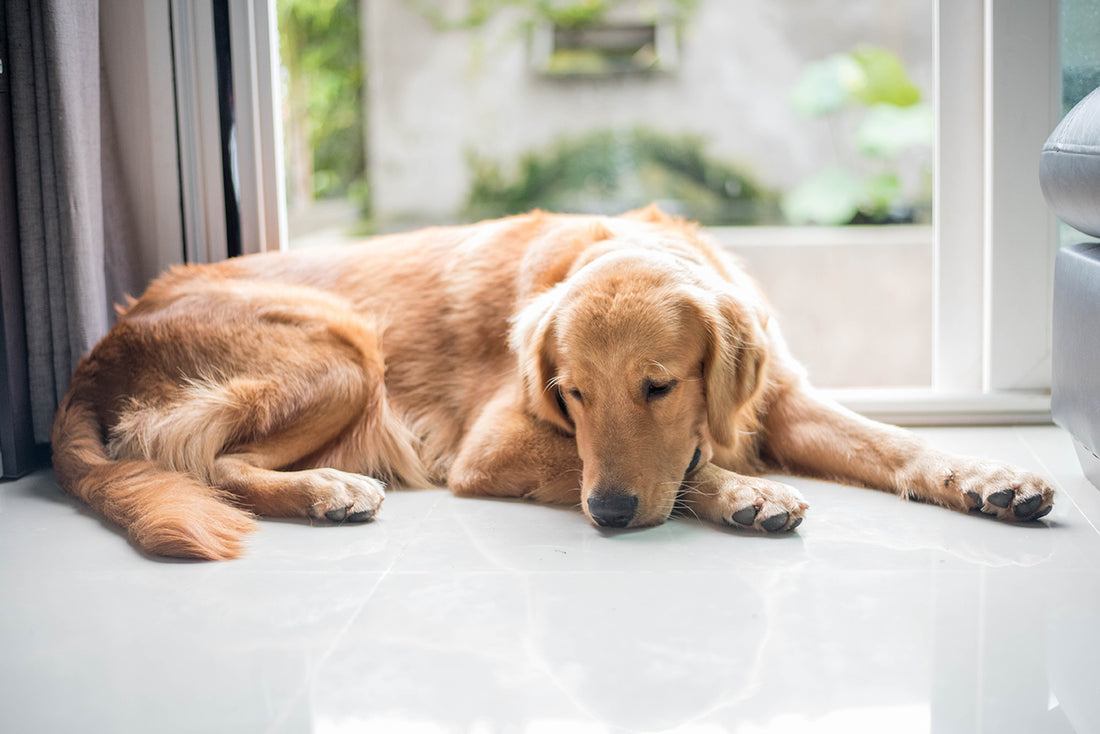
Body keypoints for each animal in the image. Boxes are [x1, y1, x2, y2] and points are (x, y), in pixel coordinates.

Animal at [51, 207, 1056, 563]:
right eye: (570, 395)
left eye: (658, 387)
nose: (606, 516)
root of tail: (97, 348)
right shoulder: (492, 445)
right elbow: (680, 472)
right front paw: (743, 493)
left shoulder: (782, 398)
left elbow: (896, 442)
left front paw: (987, 476)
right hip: (343, 351)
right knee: (209, 464)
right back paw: (329, 488)